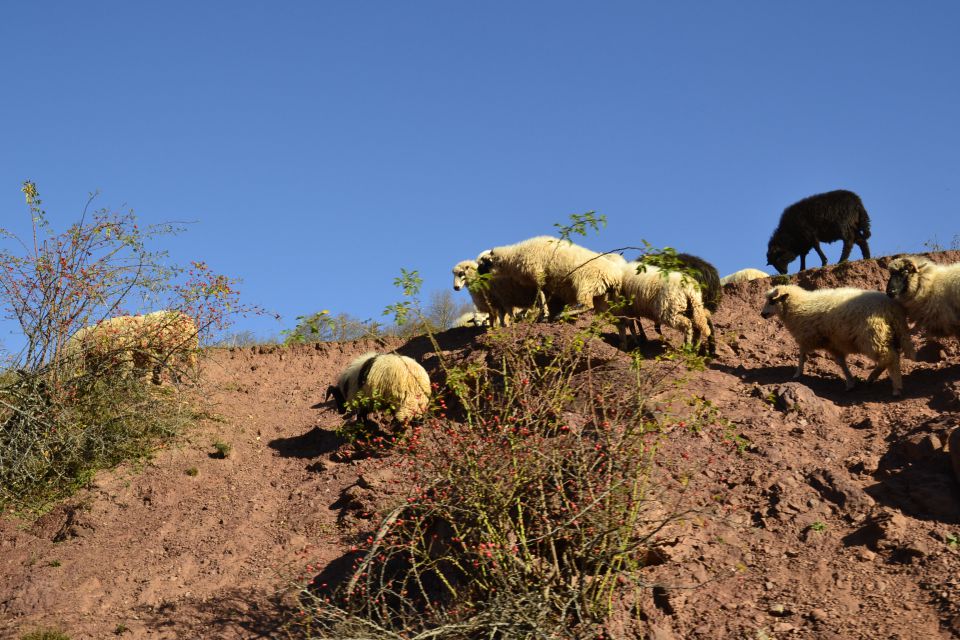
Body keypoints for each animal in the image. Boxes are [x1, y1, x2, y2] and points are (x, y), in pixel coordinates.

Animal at [478, 235, 624, 318]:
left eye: (483, 264)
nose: (479, 278)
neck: (513, 257)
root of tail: (615, 277)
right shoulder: (543, 281)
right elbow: (542, 295)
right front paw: (544, 311)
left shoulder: (537, 274)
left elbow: (540, 295)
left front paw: (544, 312)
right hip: (601, 294)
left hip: (585, 283)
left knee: (587, 306)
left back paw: (563, 314)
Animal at [756, 284, 916, 396]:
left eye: (772, 301)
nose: (763, 314)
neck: (798, 306)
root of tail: (891, 307)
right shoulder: (832, 343)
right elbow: (841, 362)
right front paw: (850, 382)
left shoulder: (807, 336)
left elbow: (801, 355)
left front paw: (797, 373)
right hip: (889, 335)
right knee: (891, 357)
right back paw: (875, 378)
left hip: (872, 336)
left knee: (889, 357)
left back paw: (893, 387)